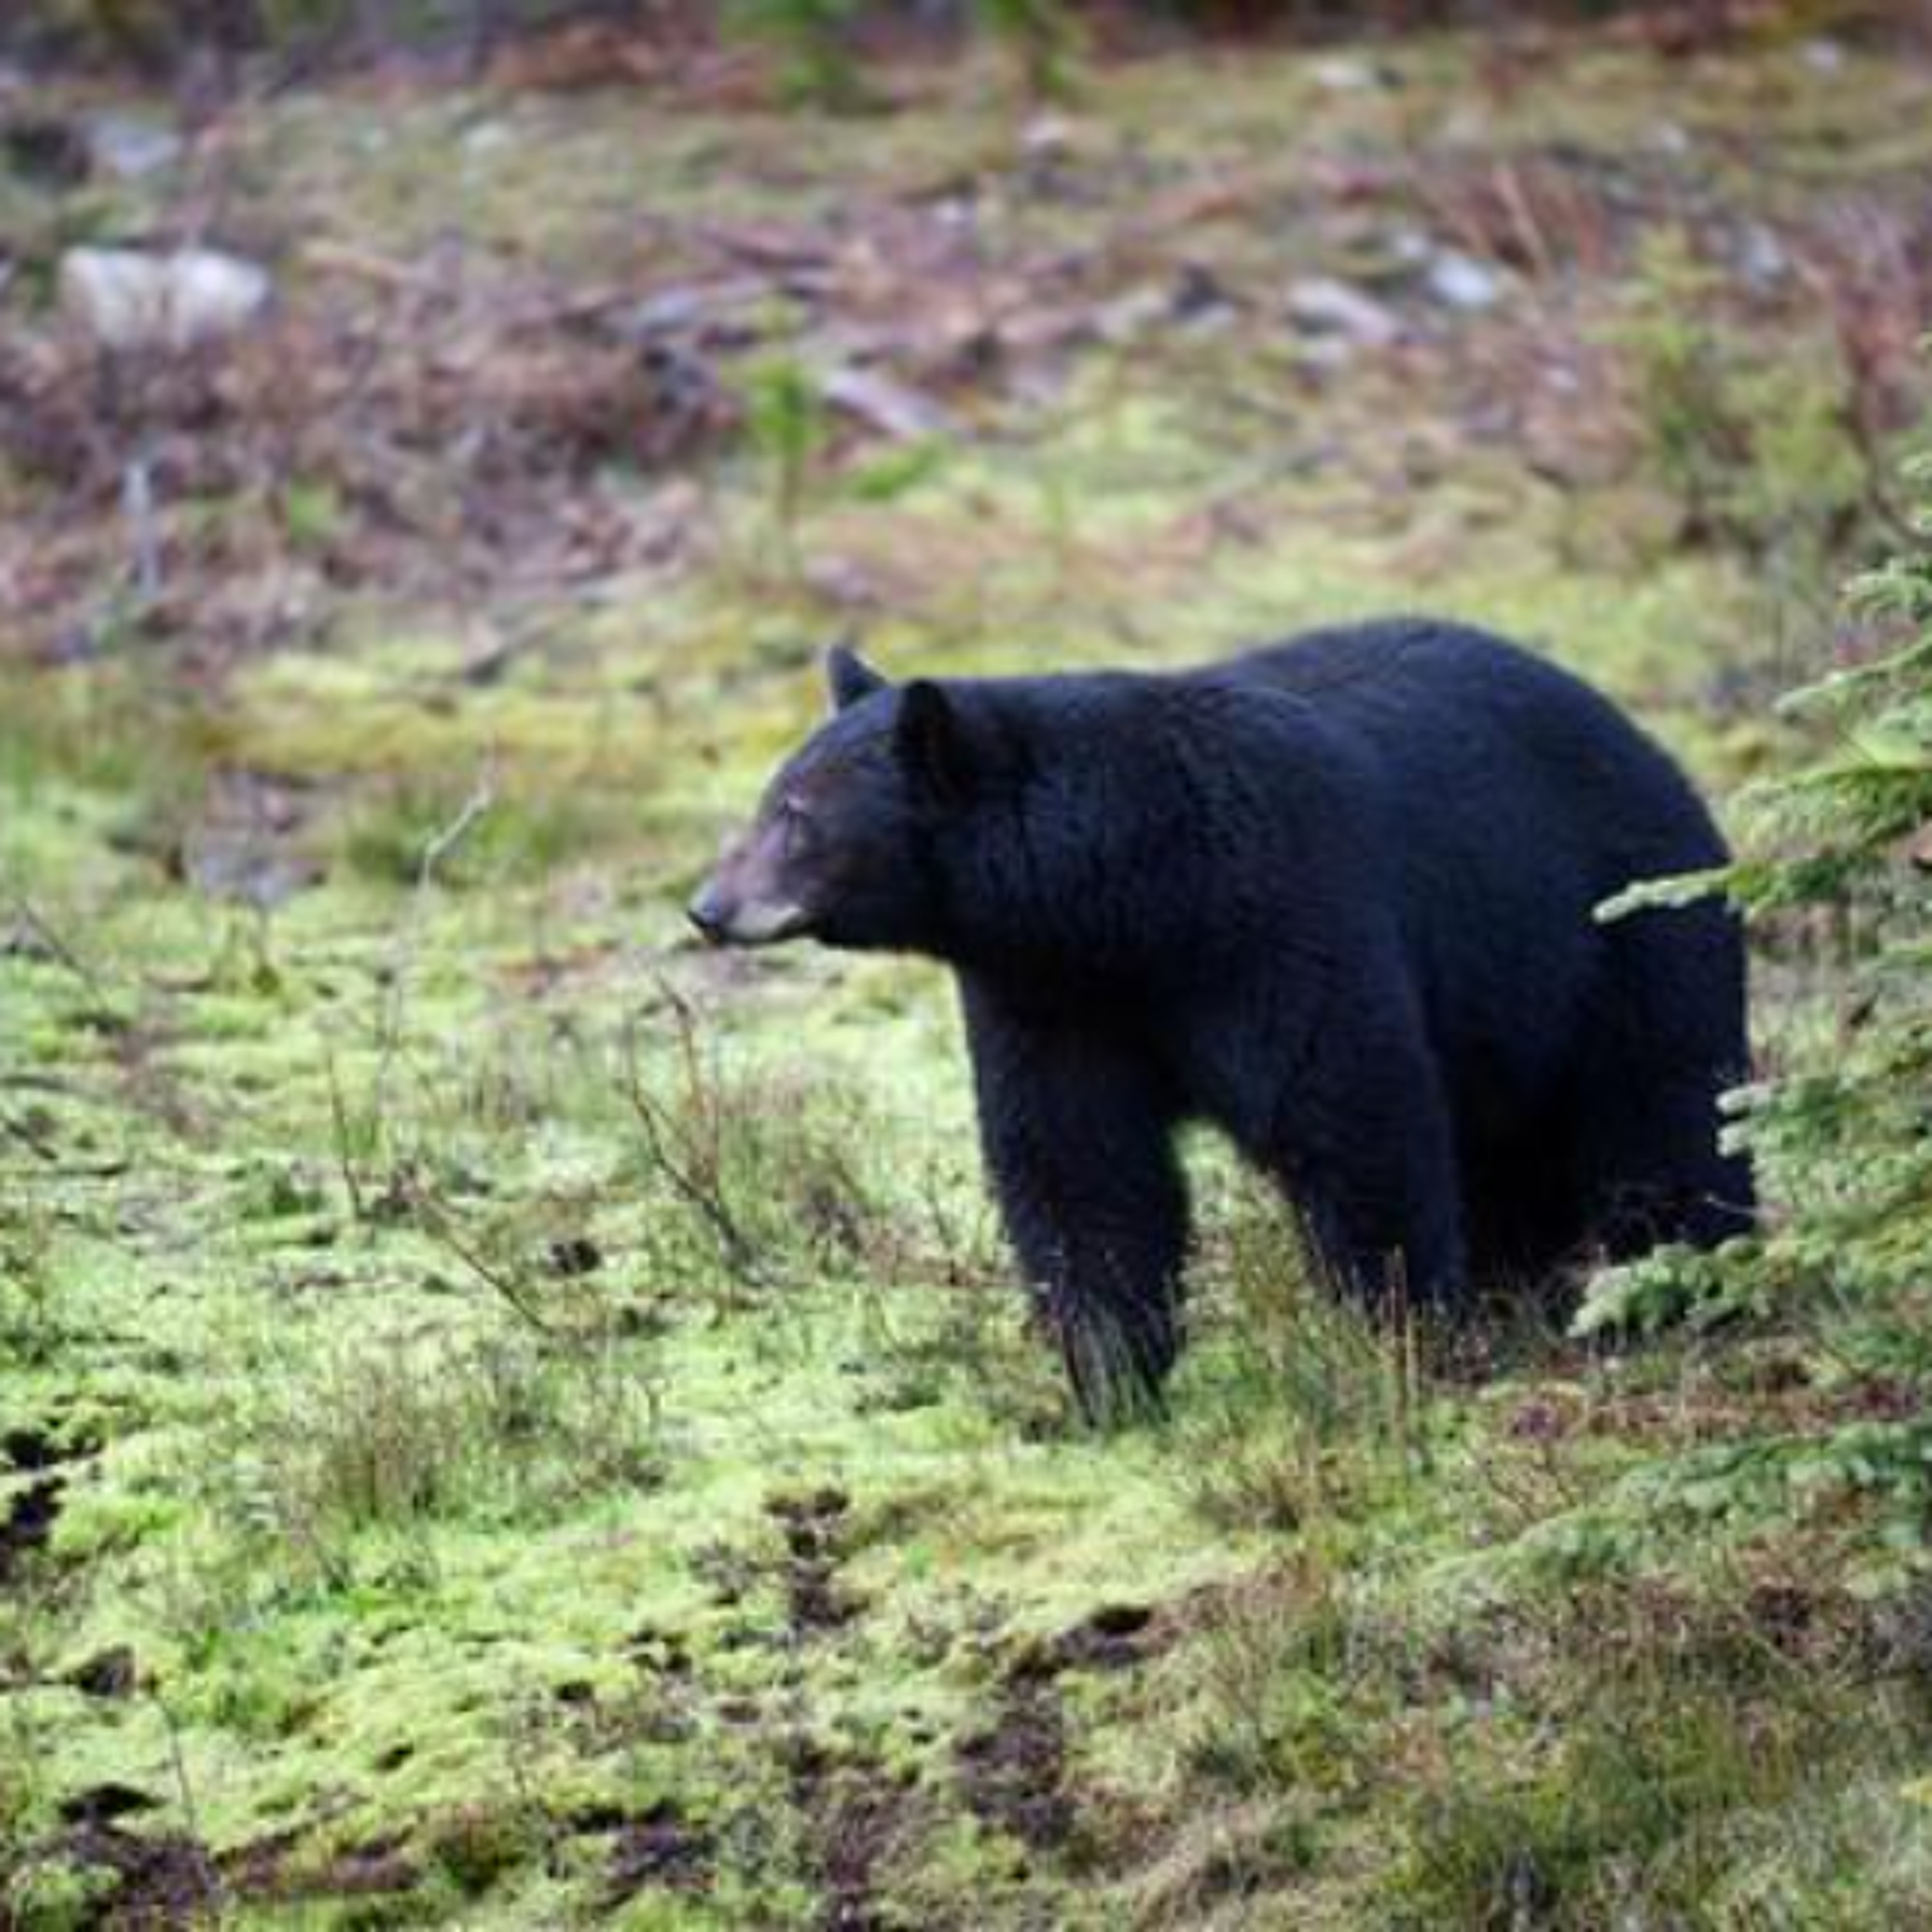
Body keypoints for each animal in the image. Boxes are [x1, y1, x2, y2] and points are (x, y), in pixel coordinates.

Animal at [689, 618, 1754, 1419]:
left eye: (796, 817)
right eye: (770, 798)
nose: (707, 906)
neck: (1126, 891)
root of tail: (1653, 748)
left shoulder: (1277, 915)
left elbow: (1351, 1114)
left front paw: (1396, 1340)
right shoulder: (1046, 990)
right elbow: (1077, 1166)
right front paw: (1110, 1380)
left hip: (1622, 928)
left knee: (1663, 1112)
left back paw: (1676, 1285)